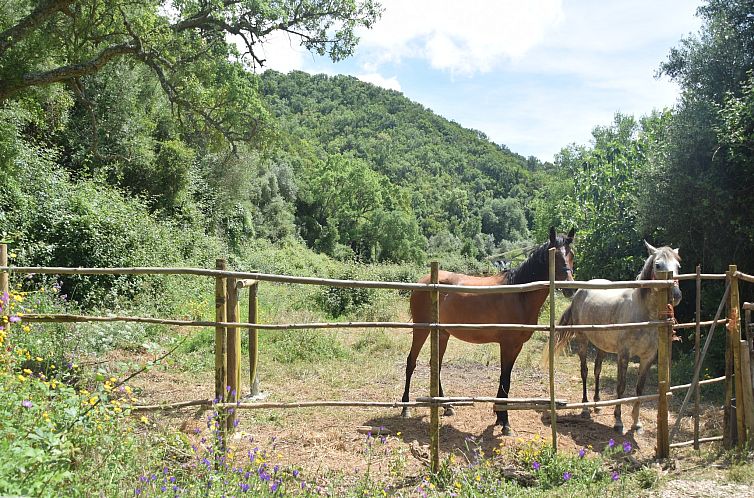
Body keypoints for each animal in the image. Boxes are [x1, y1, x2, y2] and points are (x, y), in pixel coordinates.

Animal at [402, 228, 572, 434]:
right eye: (554, 255)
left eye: (571, 255)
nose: (570, 288)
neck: (519, 294)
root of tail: (423, 281)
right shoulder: (508, 345)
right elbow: (505, 379)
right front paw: (505, 422)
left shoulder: (516, 346)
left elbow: (505, 379)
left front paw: (499, 417)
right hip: (421, 329)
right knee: (411, 362)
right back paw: (405, 408)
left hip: (442, 333)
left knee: (436, 366)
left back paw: (447, 406)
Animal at [548, 240, 680, 432]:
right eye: (658, 265)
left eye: (678, 266)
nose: (676, 295)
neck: (643, 314)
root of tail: (579, 292)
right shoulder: (623, 355)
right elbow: (621, 387)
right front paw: (618, 421)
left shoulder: (647, 358)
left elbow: (639, 389)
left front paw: (636, 423)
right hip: (582, 339)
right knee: (585, 371)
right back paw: (586, 408)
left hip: (602, 345)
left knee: (597, 369)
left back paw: (597, 404)